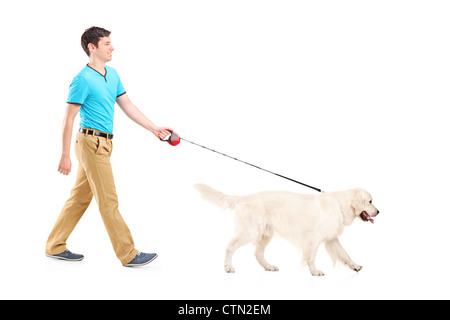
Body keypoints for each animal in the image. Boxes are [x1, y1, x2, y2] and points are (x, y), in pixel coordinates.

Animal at [195, 184, 378, 276]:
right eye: (370, 201)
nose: (379, 212)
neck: (340, 204)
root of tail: (244, 198)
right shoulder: (315, 238)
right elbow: (312, 257)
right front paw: (314, 271)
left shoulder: (332, 239)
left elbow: (345, 254)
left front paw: (355, 266)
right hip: (250, 232)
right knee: (230, 247)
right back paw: (228, 267)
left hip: (265, 234)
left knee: (257, 253)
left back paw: (269, 267)